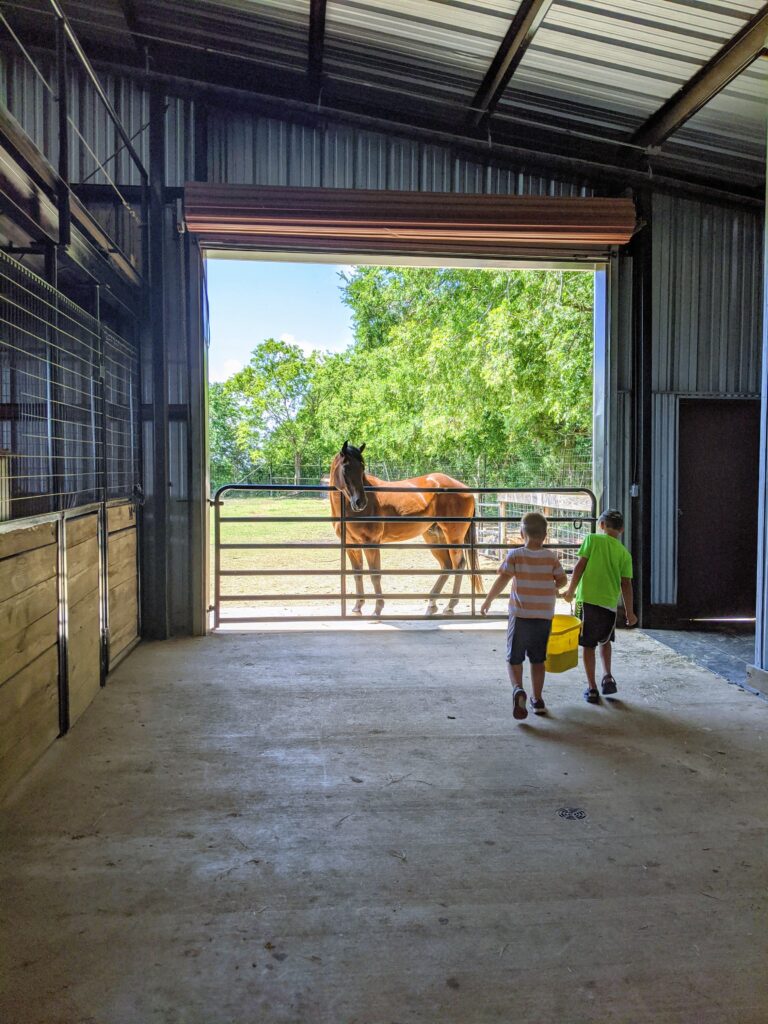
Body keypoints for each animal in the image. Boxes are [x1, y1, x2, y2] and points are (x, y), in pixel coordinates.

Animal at [327, 440, 483, 614]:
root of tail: (467, 490)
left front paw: (377, 609)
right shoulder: (351, 545)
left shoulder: (371, 543)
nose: (360, 502)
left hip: (453, 537)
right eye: (346, 468)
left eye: (362, 468)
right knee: (447, 566)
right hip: (434, 537)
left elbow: (375, 575)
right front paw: (357, 607)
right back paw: (432, 604)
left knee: (459, 564)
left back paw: (449, 606)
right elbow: (357, 574)